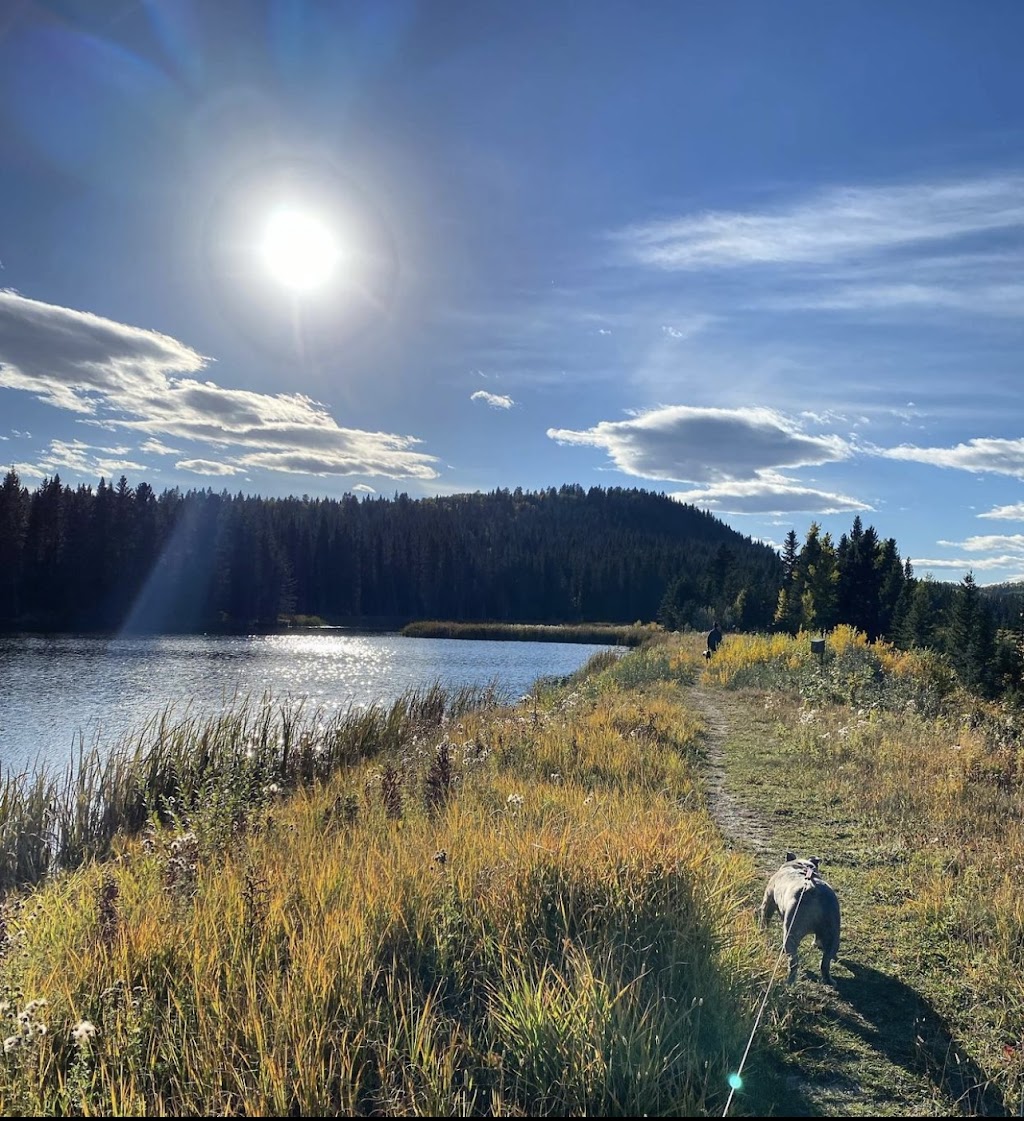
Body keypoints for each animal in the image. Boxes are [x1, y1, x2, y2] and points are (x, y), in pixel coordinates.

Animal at [758, 851, 838, 986]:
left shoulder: (768, 901)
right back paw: (829, 979)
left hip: (790, 934)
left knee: (793, 962)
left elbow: (765, 920)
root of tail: (813, 890)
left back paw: (789, 981)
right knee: (825, 962)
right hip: (833, 934)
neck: (801, 866)